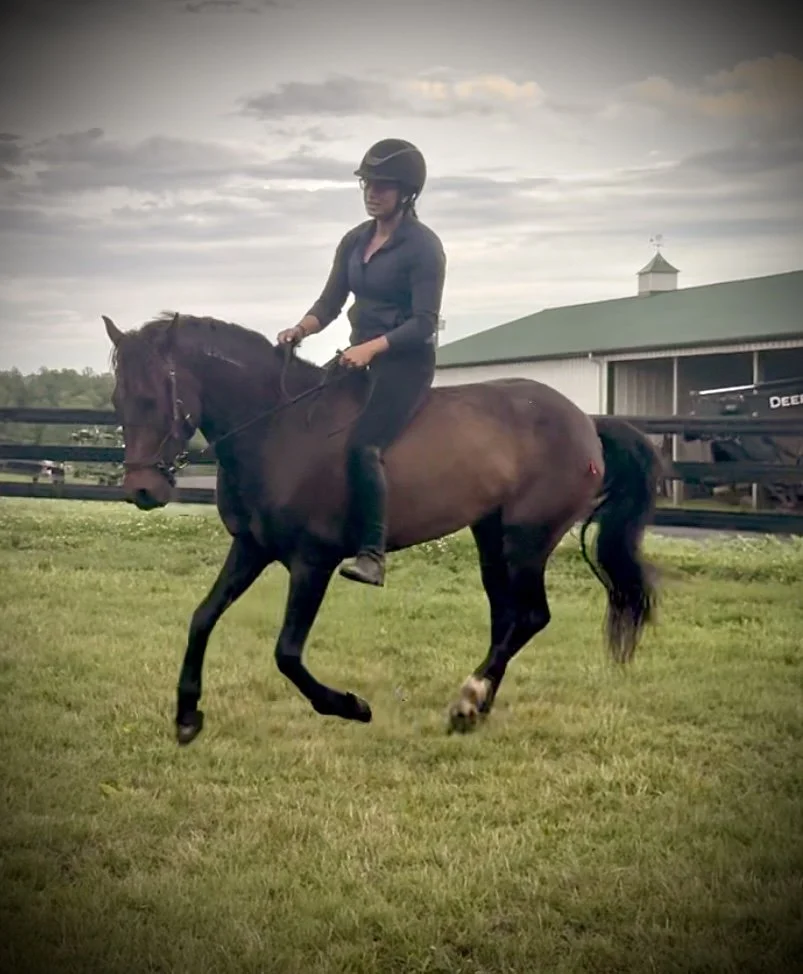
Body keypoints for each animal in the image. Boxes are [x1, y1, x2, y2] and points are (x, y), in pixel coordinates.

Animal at [102, 311, 664, 745]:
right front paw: (187, 716)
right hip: (490, 535)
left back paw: (469, 699)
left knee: (529, 617)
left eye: (153, 398)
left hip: (526, 540)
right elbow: (202, 618)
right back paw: (475, 708)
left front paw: (350, 706)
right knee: (507, 617)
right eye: (117, 401)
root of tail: (585, 423)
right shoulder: (251, 548)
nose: (142, 491)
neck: (279, 429)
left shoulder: (313, 561)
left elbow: (287, 653)